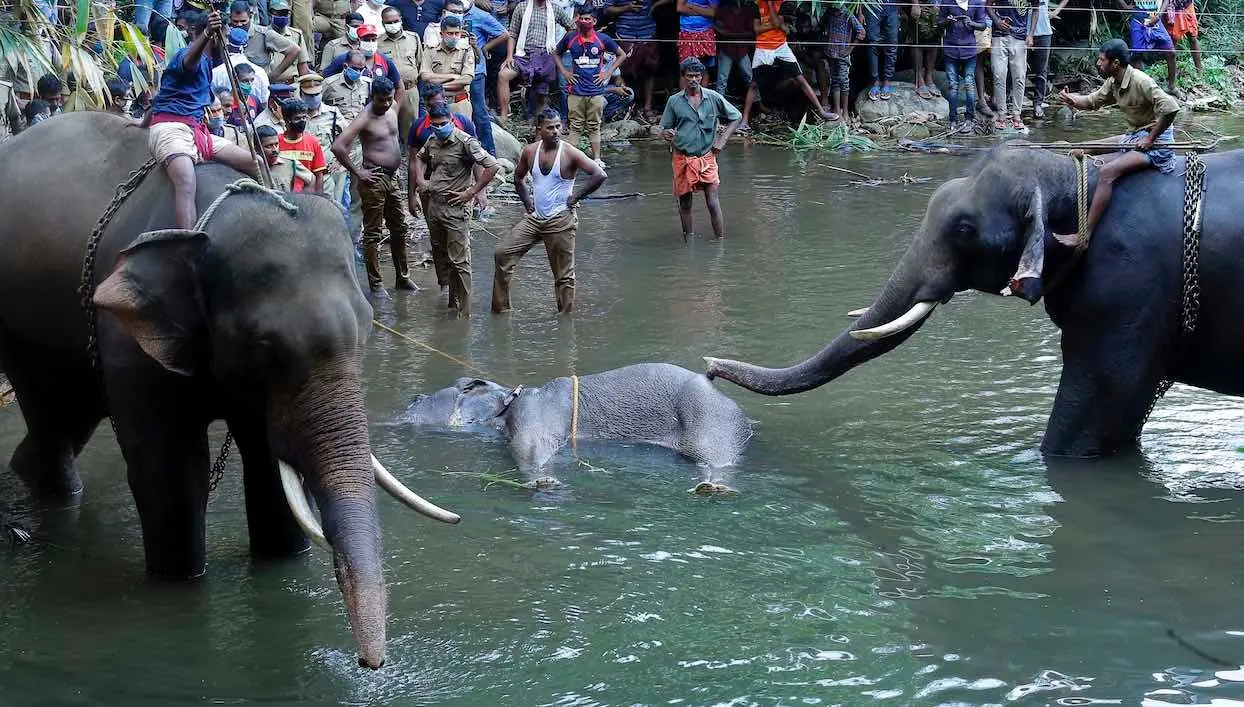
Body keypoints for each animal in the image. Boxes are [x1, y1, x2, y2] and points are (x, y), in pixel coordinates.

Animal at [0, 110, 462, 667]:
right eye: (264, 346)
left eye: (369, 328)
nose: (369, 663)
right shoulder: (126, 336)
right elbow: (172, 470)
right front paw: (179, 582)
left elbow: (266, 462)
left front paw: (281, 562)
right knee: (49, 412)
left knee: (69, 415)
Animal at [403, 363, 751, 470]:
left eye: (419, 399)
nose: (412, 397)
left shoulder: (534, 417)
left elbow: (530, 449)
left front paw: (544, 481)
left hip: (710, 420)